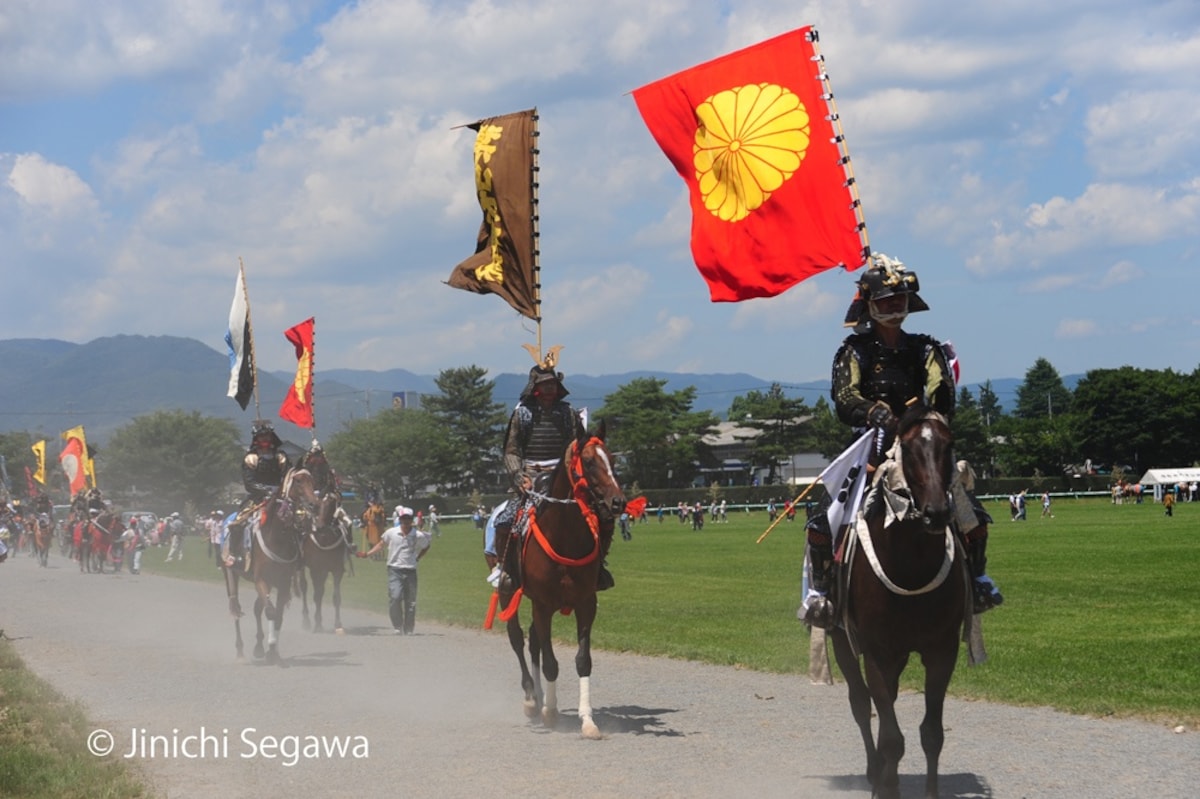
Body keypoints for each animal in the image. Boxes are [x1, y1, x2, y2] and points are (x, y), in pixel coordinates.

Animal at [225, 467, 319, 657]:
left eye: (312, 481)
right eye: (298, 481)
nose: (314, 505)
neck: (276, 537)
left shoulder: (282, 581)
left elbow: (277, 616)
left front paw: (272, 650)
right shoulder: (261, 579)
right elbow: (270, 612)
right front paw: (270, 651)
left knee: (256, 608)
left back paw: (259, 646)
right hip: (231, 572)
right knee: (236, 607)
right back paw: (240, 649)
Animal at [295, 489, 350, 633]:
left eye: (332, 504)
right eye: (317, 504)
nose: (319, 527)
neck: (326, 539)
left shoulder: (337, 570)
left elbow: (336, 597)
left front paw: (338, 623)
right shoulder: (316, 570)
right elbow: (317, 595)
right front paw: (318, 623)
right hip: (303, 567)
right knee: (304, 586)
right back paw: (306, 620)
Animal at [489, 412, 624, 739]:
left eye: (612, 459)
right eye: (588, 461)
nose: (617, 502)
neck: (564, 534)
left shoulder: (586, 603)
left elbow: (582, 660)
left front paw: (587, 720)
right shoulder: (543, 604)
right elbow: (550, 662)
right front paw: (549, 712)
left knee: (534, 642)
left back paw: (539, 698)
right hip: (509, 590)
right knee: (518, 638)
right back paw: (531, 699)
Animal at [835, 405, 974, 796]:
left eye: (948, 444)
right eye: (908, 450)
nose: (936, 512)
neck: (911, 566)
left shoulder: (942, 650)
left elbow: (931, 734)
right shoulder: (876, 652)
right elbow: (891, 736)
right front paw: (885, 786)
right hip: (841, 642)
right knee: (861, 704)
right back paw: (875, 773)